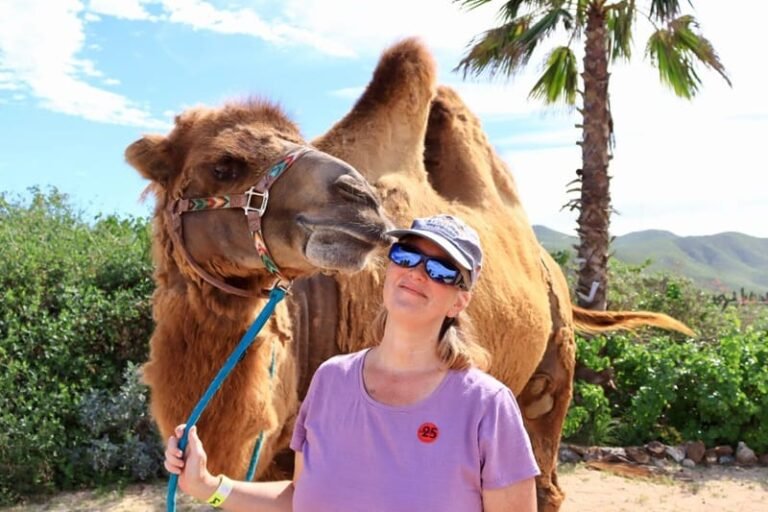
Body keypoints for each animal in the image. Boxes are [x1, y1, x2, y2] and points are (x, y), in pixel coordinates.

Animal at [126, 39, 692, 512]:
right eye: (223, 164)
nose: (358, 201)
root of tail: (551, 271)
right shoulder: (275, 454)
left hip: (553, 372)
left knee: (545, 480)